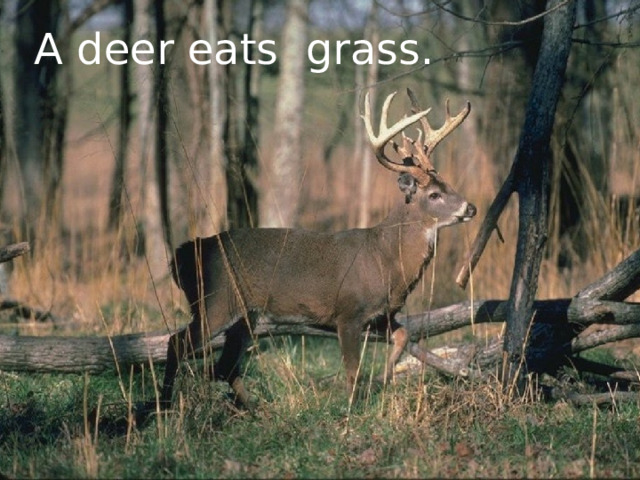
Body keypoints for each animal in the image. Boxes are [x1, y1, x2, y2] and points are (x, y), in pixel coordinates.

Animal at [158, 89, 476, 410]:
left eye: (447, 183)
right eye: (434, 195)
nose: (471, 207)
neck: (385, 258)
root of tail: (183, 254)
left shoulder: (382, 315)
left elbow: (403, 336)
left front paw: (382, 379)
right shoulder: (348, 312)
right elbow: (352, 370)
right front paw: (351, 410)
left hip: (247, 316)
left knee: (223, 366)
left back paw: (254, 409)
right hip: (215, 301)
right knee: (177, 344)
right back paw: (165, 405)